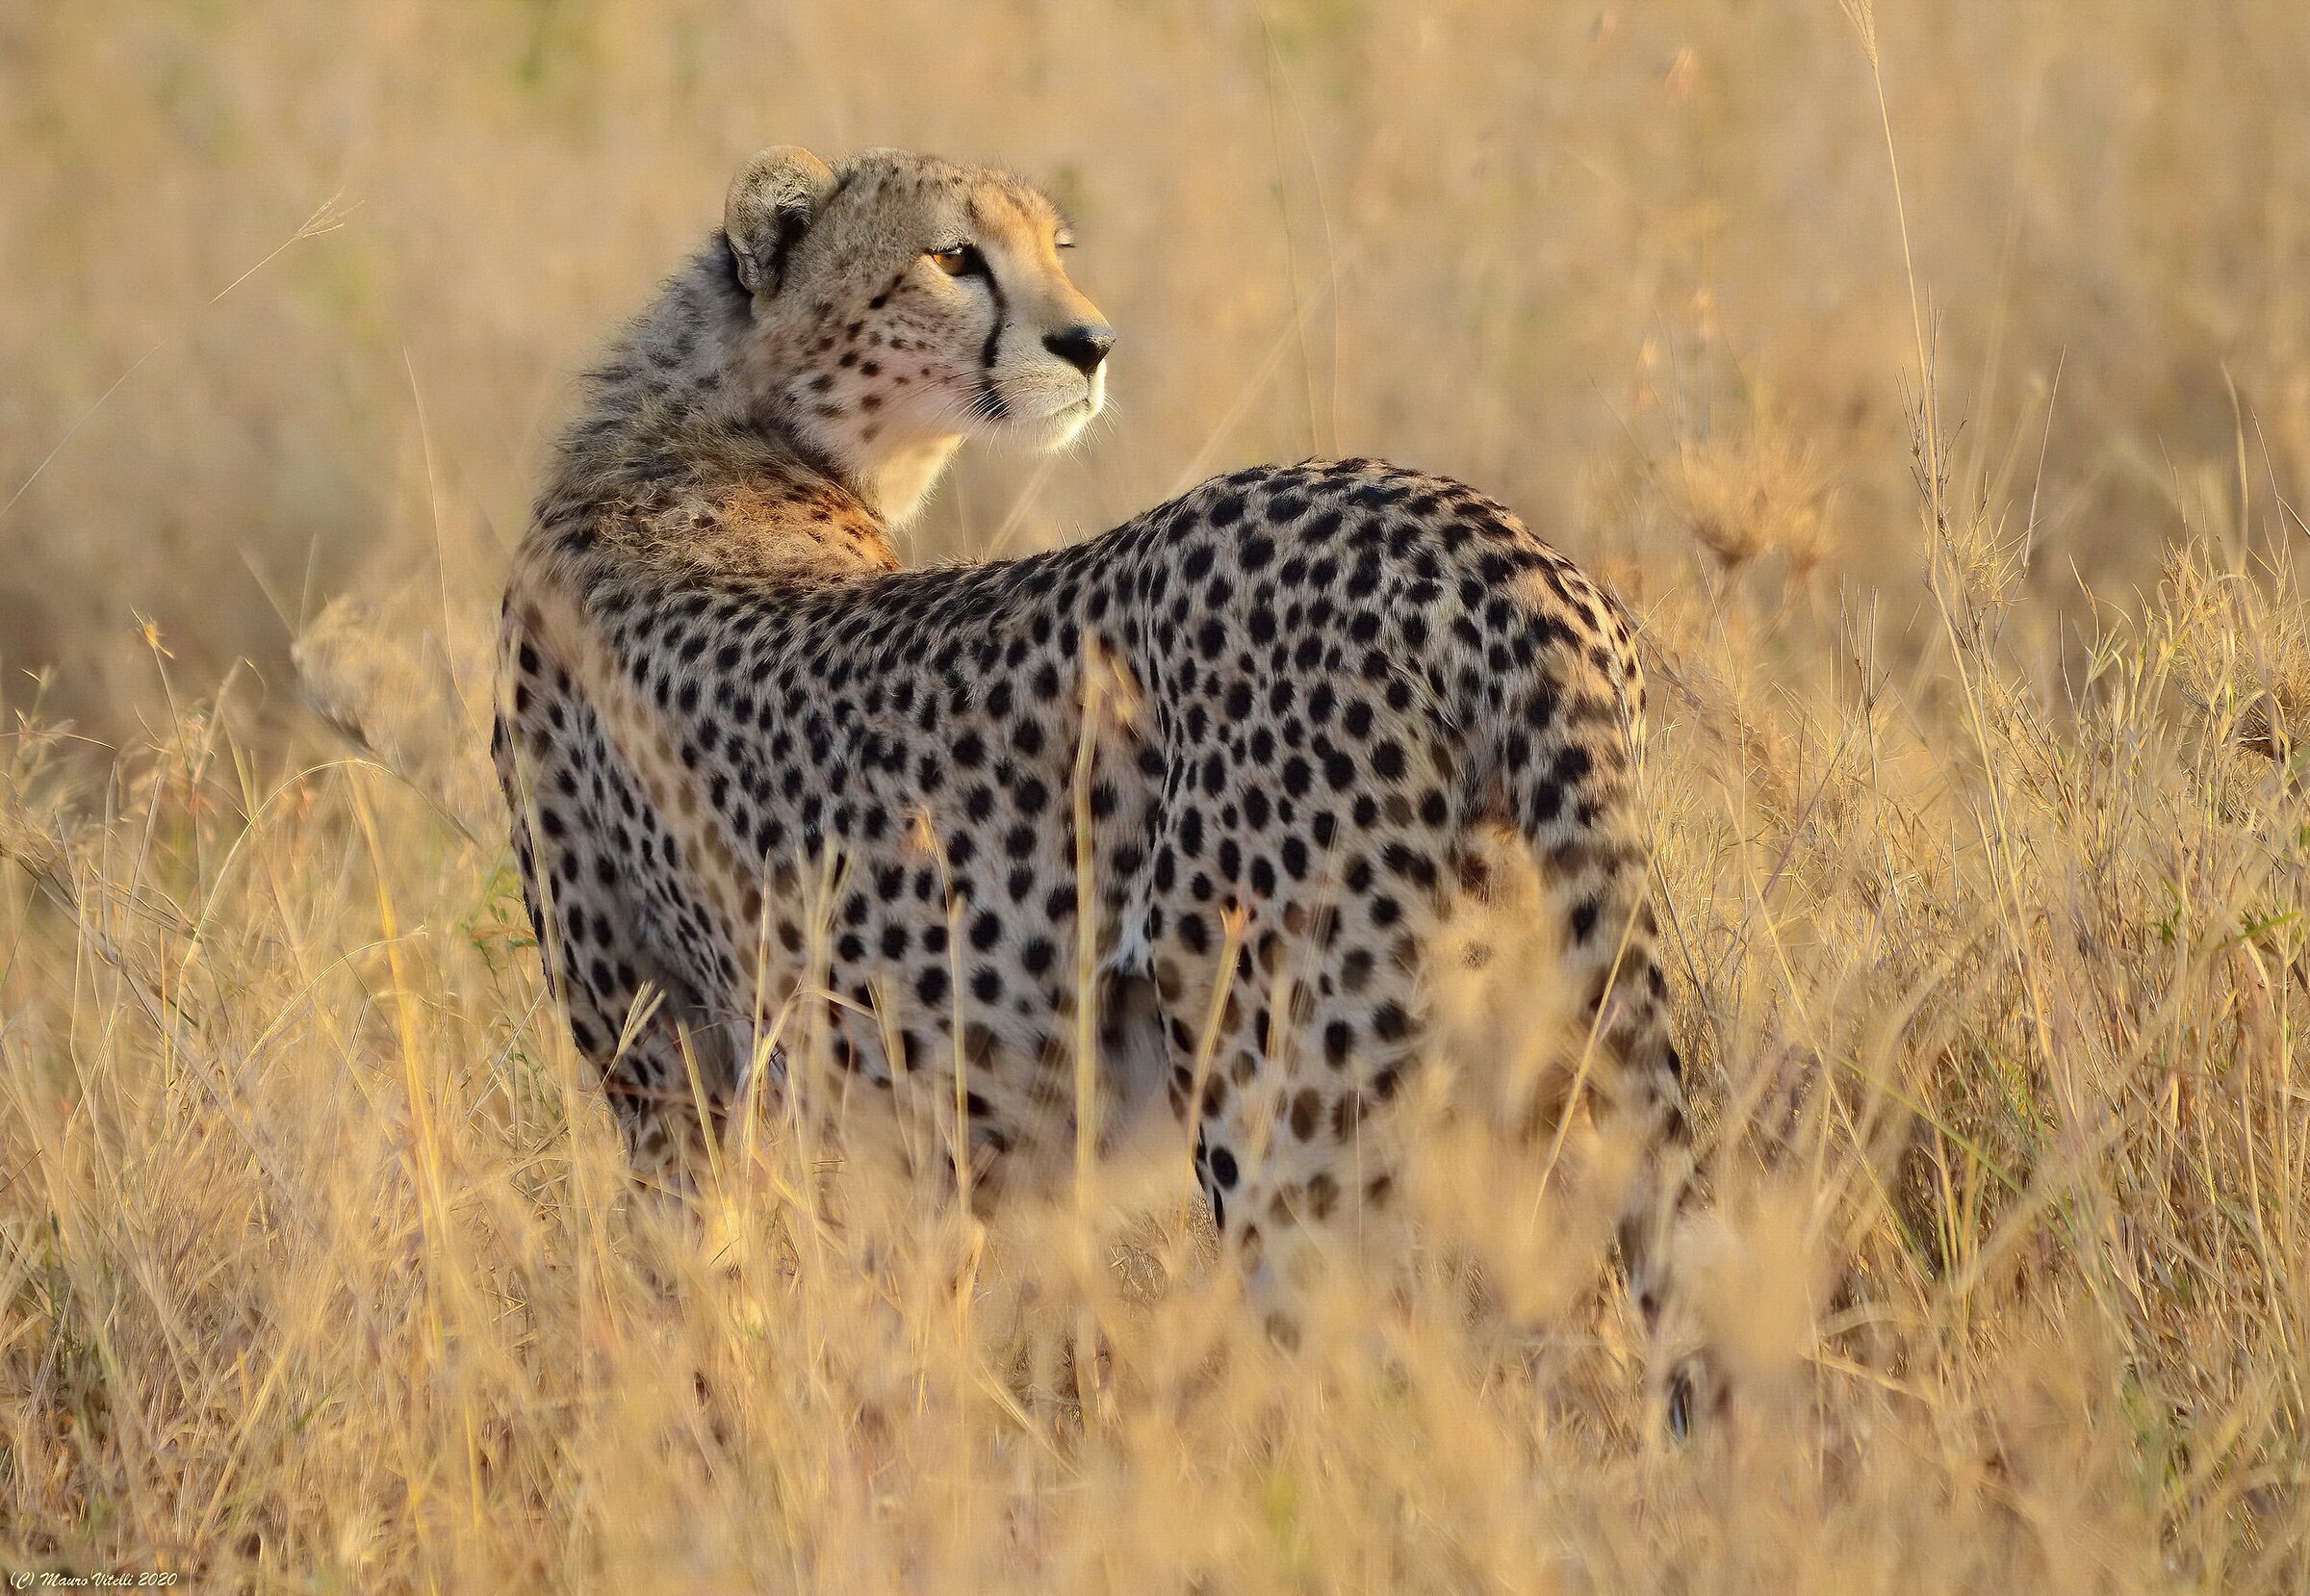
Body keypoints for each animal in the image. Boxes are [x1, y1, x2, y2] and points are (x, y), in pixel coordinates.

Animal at [494, 145, 1714, 1426]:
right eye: (953, 254)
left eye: (1053, 248)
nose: (1091, 344)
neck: (713, 429)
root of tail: (1484, 538)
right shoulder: (899, 1122)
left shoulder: (671, 1070)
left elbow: (713, 1293)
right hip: (1543, 1042)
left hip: (1275, 1088)